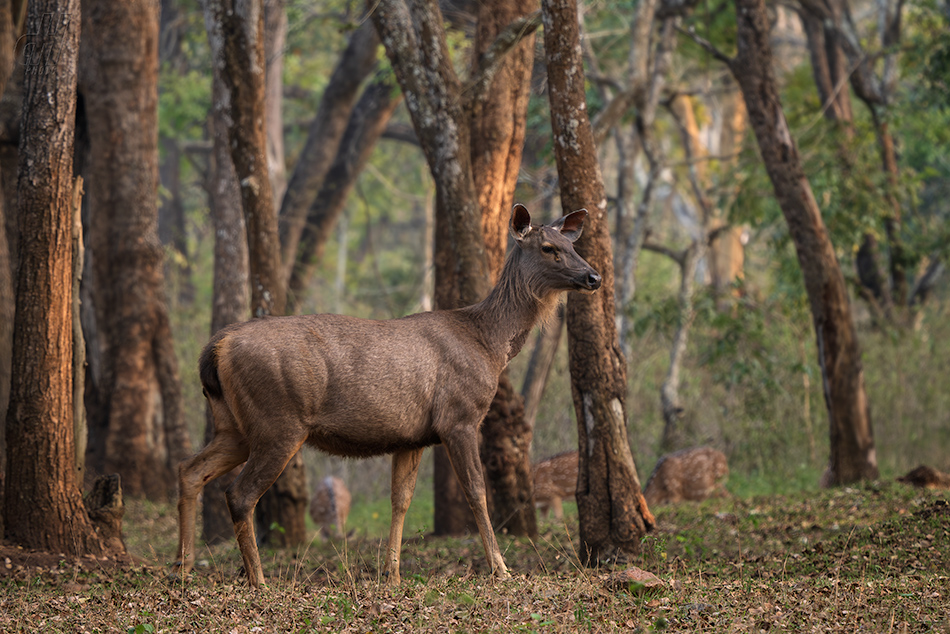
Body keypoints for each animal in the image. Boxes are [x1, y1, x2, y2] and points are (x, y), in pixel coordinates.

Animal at [171, 205, 604, 584]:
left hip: (235, 426)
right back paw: (257, 579)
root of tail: (217, 348)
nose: (594, 277)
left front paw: (392, 574)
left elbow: (401, 500)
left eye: (571, 244)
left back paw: (184, 569)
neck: (489, 345)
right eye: (548, 247)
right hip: (279, 422)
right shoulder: (459, 416)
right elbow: (477, 492)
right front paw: (501, 568)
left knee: (190, 469)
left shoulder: (411, 436)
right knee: (239, 494)